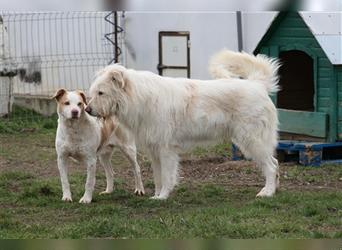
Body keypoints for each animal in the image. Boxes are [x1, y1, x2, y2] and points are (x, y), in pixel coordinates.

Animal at [86, 49, 280, 200]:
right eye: (93, 92)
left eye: (101, 93)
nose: (87, 110)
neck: (142, 97)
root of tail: (256, 84)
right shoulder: (154, 150)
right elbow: (157, 177)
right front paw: (156, 196)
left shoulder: (166, 149)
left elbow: (166, 176)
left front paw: (163, 196)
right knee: (275, 163)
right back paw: (271, 190)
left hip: (252, 141)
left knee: (270, 167)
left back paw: (267, 193)